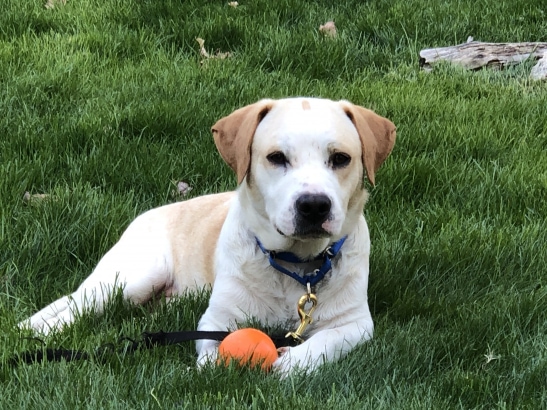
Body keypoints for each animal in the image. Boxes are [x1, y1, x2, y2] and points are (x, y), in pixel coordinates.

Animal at [21, 97, 396, 374]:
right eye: (276, 157)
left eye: (341, 158)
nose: (314, 206)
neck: (296, 266)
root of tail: (146, 215)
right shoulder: (216, 319)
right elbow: (212, 352)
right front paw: (219, 366)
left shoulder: (356, 324)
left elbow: (325, 343)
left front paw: (293, 363)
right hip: (132, 277)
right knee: (76, 303)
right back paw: (37, 330)